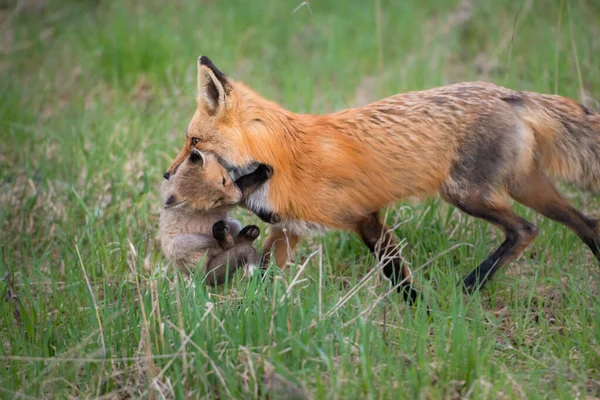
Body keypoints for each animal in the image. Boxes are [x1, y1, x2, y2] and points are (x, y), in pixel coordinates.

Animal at [161, 148, 280, 284]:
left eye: (223, 180)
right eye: (216, 201)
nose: (238, 196)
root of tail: (203, 279)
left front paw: (267, 215)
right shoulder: (224, 204)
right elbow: (244, 182)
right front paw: (262, 171)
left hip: (233, 224)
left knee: (236, 244)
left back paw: (245, 236)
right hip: (181, 244)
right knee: (228, 246)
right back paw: (225, 236)